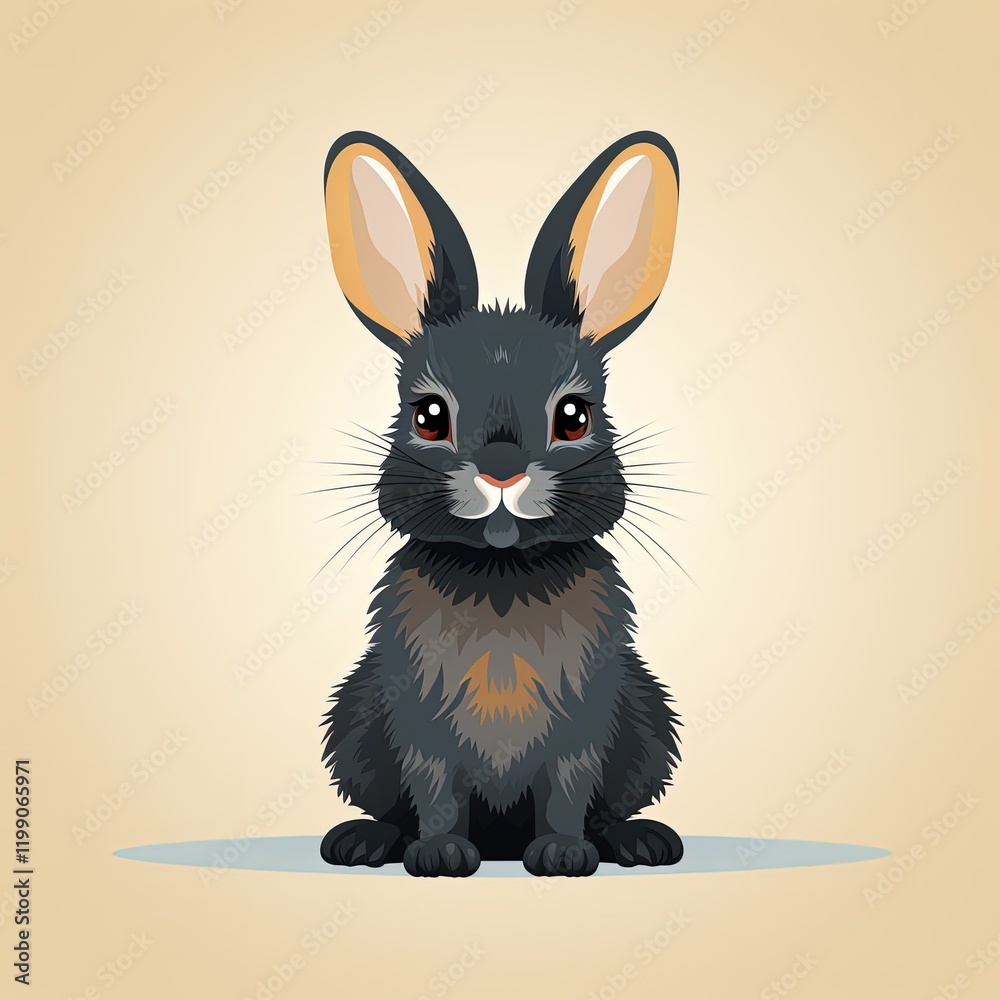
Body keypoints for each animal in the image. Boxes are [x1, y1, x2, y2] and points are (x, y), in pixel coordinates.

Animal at [319, 129, 683, 877]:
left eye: (575, 415)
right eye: (428, 416)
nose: (502, 471)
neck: (502, 573)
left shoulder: (586, 723)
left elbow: (569, 788)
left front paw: (564, 856)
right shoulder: (417, 722)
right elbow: (434, 789)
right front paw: (440, 857)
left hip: (647, 717)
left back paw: (641, 841)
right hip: (355, 717)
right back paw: (362, 841)